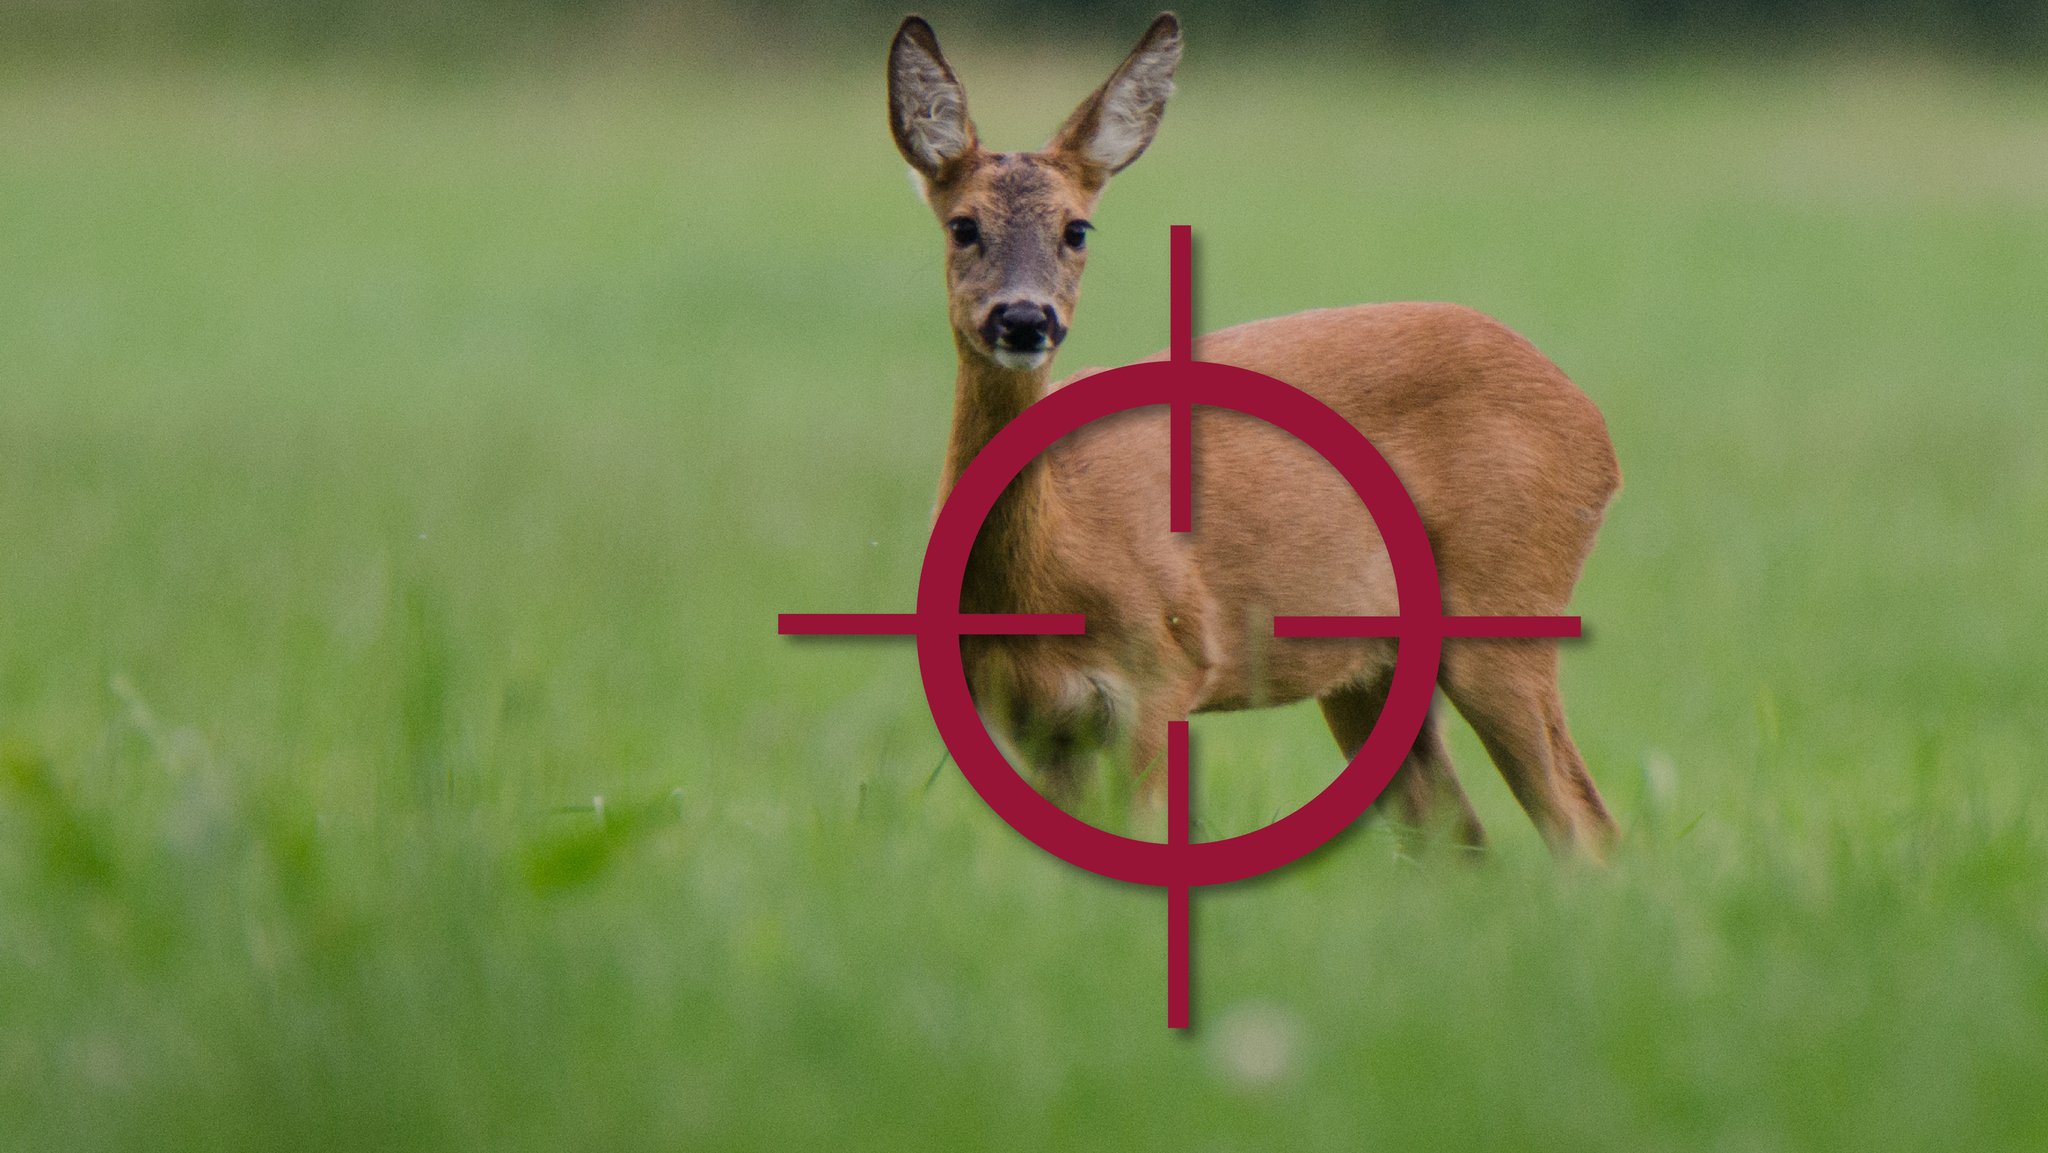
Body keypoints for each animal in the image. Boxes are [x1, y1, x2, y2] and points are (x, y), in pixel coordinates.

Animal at [888, 9, 1622, 856]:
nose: (1023, 318)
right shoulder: (1039, 724)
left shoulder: (1161, 675)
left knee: (1586, 830)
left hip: (1506, 608)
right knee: (1460, 836)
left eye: (1077, 229)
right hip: (1371, 672)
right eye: (962, 226)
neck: (1046, 570)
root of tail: (1597, 429)